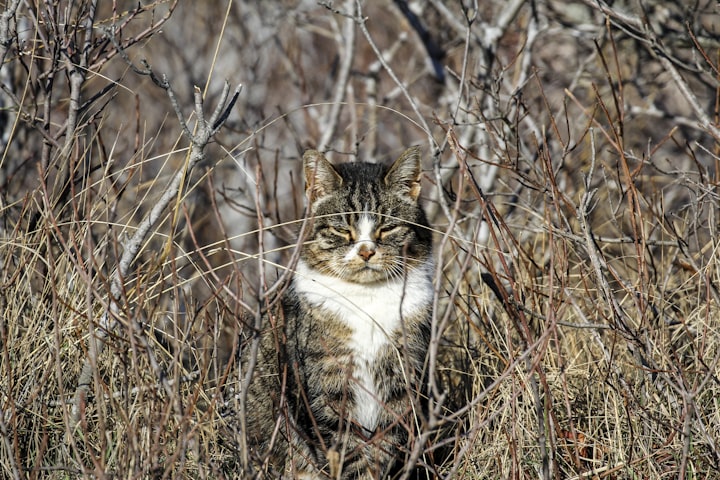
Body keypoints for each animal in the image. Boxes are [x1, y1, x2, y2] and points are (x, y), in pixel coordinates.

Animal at [242, 147, 434, 480]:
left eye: (387, 228)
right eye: (343, 230)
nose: (367, 251)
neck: (368, 299)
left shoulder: (400, 383)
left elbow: (384, 448)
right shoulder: (324, 391)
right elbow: (346, 453)